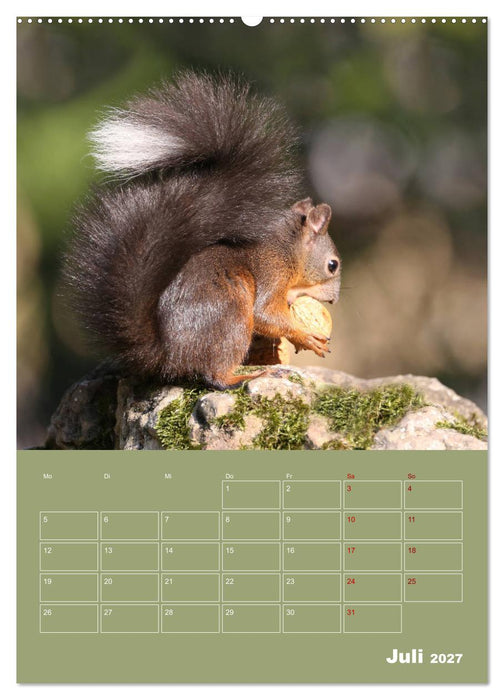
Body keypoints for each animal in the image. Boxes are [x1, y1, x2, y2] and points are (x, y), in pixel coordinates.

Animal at [64, 72, 341, 390]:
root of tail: (169, 355)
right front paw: (306, 336)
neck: (287, 250)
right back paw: (246, 376)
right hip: (232, 317)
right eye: (333, 265)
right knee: (214, 375)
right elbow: (265, 314)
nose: (334, 300)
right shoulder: (272, 275)